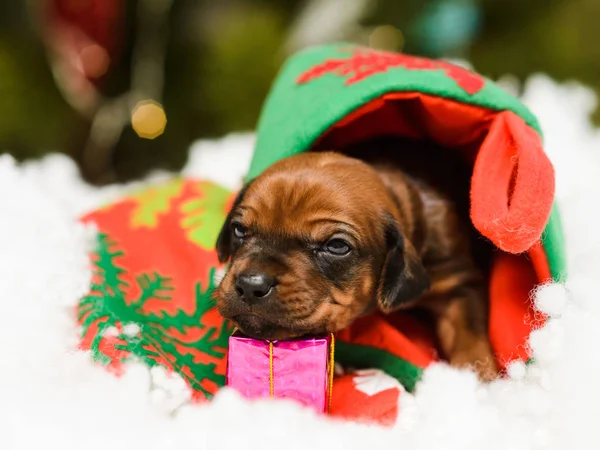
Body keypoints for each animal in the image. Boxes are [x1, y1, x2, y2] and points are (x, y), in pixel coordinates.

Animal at [213, 140, 500, 380]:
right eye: (238, 229)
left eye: (337, 246)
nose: (251, 285)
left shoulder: (459, 281)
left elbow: (469, 336)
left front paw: (480, 377)